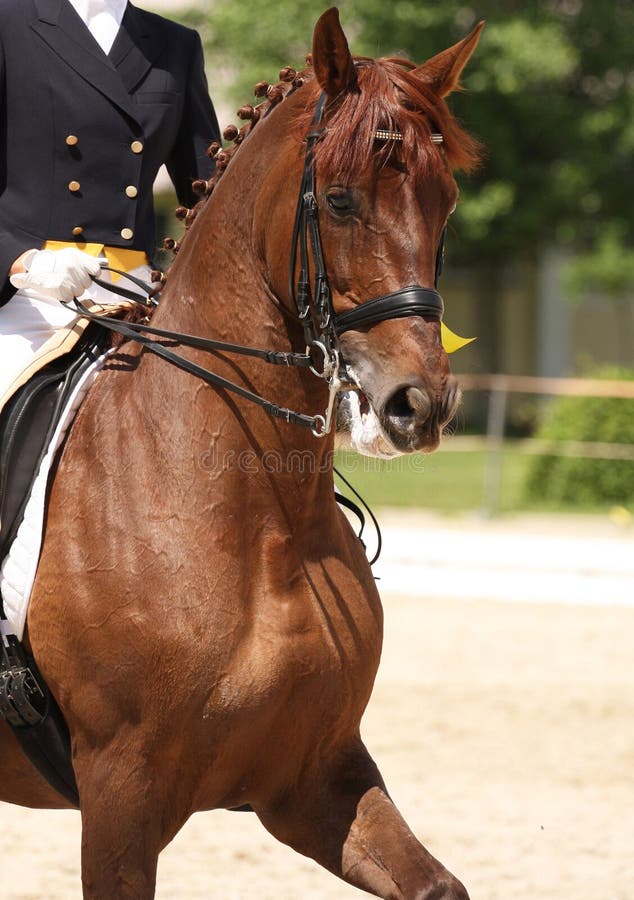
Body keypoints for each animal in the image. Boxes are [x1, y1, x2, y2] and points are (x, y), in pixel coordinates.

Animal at [1, 8, 478, 900]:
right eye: (339, 199)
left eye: (447, 200)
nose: (418, 405)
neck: (261, 520)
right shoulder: (120, 797)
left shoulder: (314, 777)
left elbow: (437, 885)